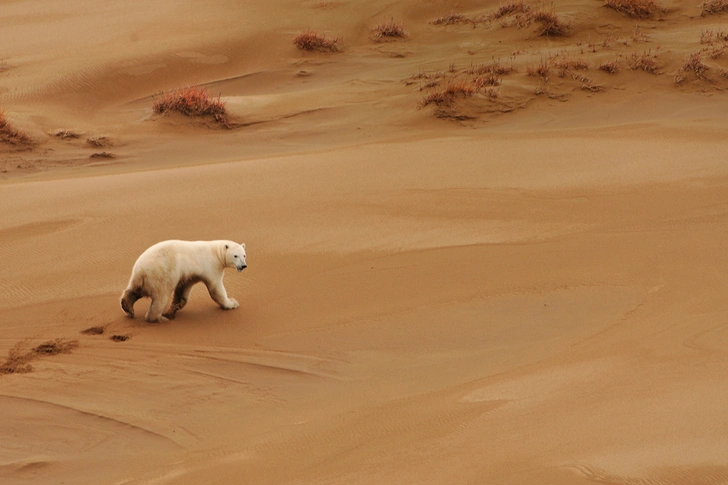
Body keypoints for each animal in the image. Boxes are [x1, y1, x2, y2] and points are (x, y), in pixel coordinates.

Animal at [118, 238, 246, 322]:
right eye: (235, 256)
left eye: (244, 255)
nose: (244, 266)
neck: (216, 252)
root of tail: (141, 270)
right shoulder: (211, 266)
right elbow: (216, 289)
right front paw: (232, 303)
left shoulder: (189, 274)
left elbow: (183, 290)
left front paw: (176, 307)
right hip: (160, 275)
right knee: (161, 297)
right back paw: (160, 318)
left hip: (139, 278)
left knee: (134, 291)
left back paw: (128, 308)